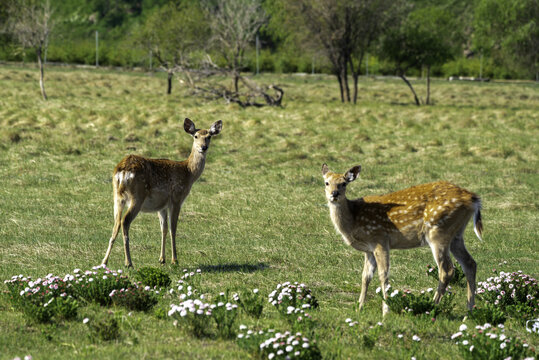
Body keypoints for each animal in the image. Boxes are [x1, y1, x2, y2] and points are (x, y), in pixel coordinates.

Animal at [102, 118, 223, 268]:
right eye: (196, 136)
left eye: (209, 136)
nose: (203, 147)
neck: (188, 172)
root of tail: (122, 171)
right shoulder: (176, 198)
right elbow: (173, 229)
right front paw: (174, 260)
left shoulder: (161, 205)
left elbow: (163, 229)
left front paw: (162, 259)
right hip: (137, 196)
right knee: (125, 221)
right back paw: (128, 262)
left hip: (117, 196)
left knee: (116, 223)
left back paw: (104, 261)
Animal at [322, 163, 484, 316]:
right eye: (326, 182)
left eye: (344, 183)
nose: (334, 194)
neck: (353, 220)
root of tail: (473, 199)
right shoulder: (368, 250)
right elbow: (365, 277)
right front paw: (359, 308)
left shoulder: (380, 239)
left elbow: (383, 275)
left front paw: (386, 311)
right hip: (456, 235)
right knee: (470, 263)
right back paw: (469, 312)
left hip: (438, 231)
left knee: (447, 270)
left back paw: (430, 307)